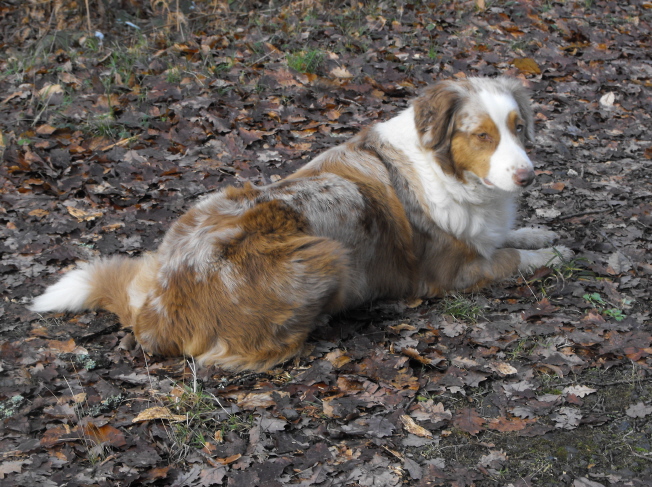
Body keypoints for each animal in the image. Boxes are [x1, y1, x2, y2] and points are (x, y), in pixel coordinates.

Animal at [30, 78, 572, 372]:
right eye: (482, 136)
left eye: (517, 128)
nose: (527, 175)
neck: (449, 170)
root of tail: (158, 309)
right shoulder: (450, 273)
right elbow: (510, 257)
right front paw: (554, 253)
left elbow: (507, 236)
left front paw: (540, 231)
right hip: (327, 253)